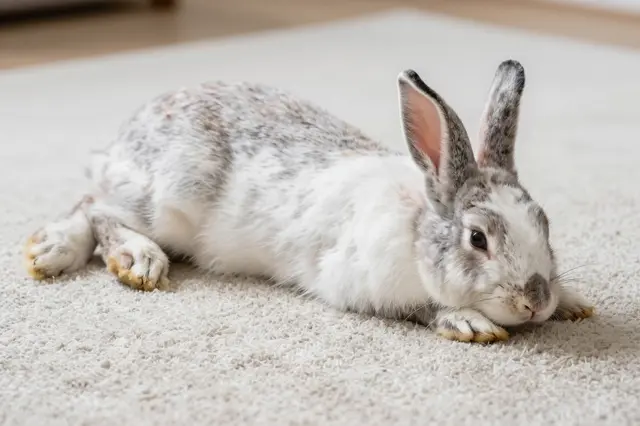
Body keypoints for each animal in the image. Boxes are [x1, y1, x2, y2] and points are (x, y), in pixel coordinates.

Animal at [23, 59, 594, 343]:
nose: (535, 301)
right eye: (477, 239)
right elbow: (421, 308)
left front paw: (573, 304)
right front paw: (469, 323)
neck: (416, 230)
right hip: (170, 199)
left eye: (544, 223)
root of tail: (123, 138)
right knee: (95, 207)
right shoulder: (361, 286)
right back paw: (111, 256)